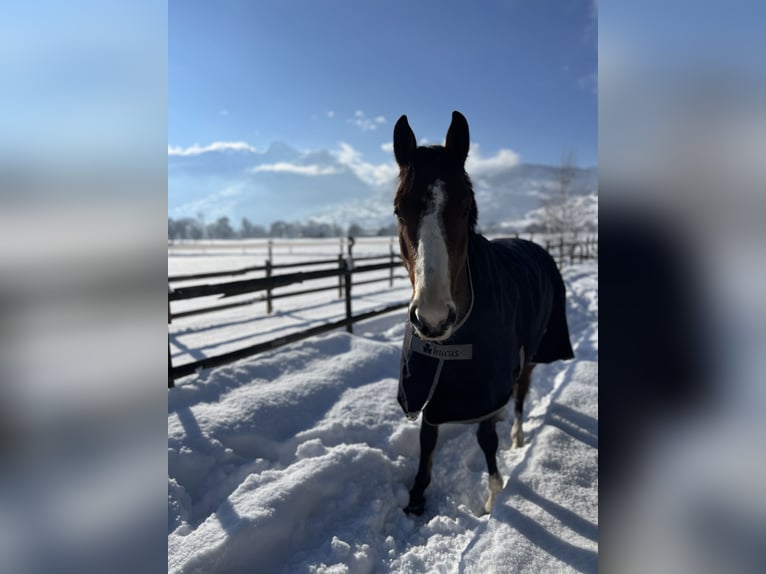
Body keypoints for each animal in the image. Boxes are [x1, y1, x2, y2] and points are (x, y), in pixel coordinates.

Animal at [393, 111, 575, 515]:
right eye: (399, 209)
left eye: (464, 207)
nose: (432, 318)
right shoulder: (431, 385)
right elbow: (428, 438)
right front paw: (416, 499)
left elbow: (487, 439)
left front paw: (493, 497)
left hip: (532, 351)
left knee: (520, 393)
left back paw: (518, 433)